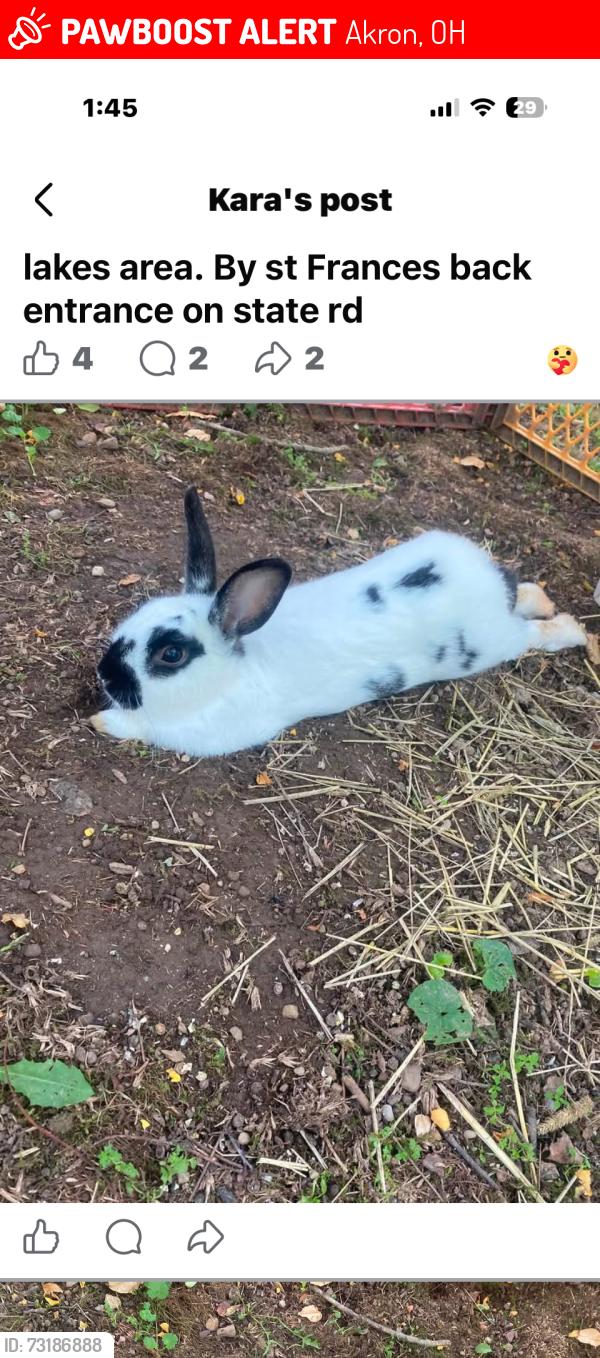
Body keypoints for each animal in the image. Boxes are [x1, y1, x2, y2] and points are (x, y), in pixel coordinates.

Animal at [90, 486, 587, 758]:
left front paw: (101, 721)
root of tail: (490, 583)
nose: (105, 674)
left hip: (492, 644)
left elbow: (144, 728)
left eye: (171, 654)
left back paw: (574, 630)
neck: (235, 667)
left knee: (532, 633)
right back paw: (542, 599)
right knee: (526, 592)